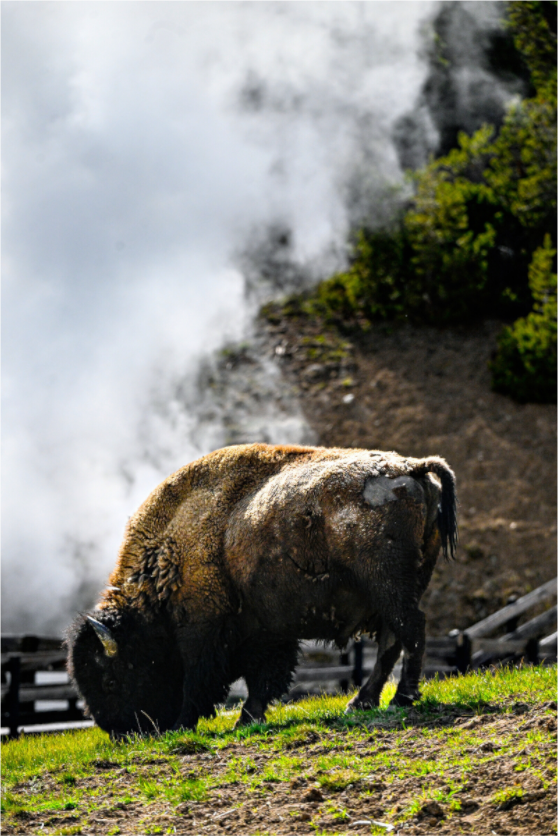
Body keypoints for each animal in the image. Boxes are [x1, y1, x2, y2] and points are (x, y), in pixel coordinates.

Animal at [66, 443, 457, 737]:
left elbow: (199, 680)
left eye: (110, 680)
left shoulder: (202, 631)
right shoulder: (268, 631)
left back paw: (402, 697)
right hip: (397, 589)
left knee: (410, 629)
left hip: (389, 586)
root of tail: (412, 467)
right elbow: (265, 679)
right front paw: (247, 719)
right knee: (394, 639)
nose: (120, 733)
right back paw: (361, 702)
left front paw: (184, 725)